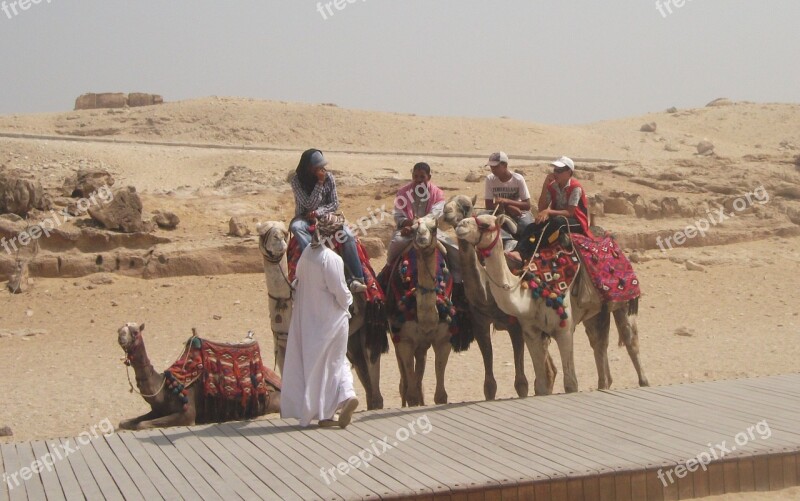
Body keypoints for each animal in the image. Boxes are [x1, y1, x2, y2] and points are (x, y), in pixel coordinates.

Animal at [115, 324, 282, 430]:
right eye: (119, 331)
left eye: (135, 332)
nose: (121, 339)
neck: (165, 387)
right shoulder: (157, 410)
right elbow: (125, 423)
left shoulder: (187, 414)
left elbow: (141, 425)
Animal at [260, 221, 384, 408]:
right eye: (262, 232)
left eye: (283, 233)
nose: (278, 240)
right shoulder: (281, 342)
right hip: (352, 338)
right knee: (362, 369)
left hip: (369, 323)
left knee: (371, 362)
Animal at [454, 213, 648, 396]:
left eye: (485, 224)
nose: (460, 226)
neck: (531, 292)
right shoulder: (530, 332)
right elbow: (541, 386)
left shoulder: (564, 330)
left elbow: (571, 384)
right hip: (595, 311)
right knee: (598, 342)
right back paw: (604, 384)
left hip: (624, 302)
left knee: (630, 339)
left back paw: (644, 382)